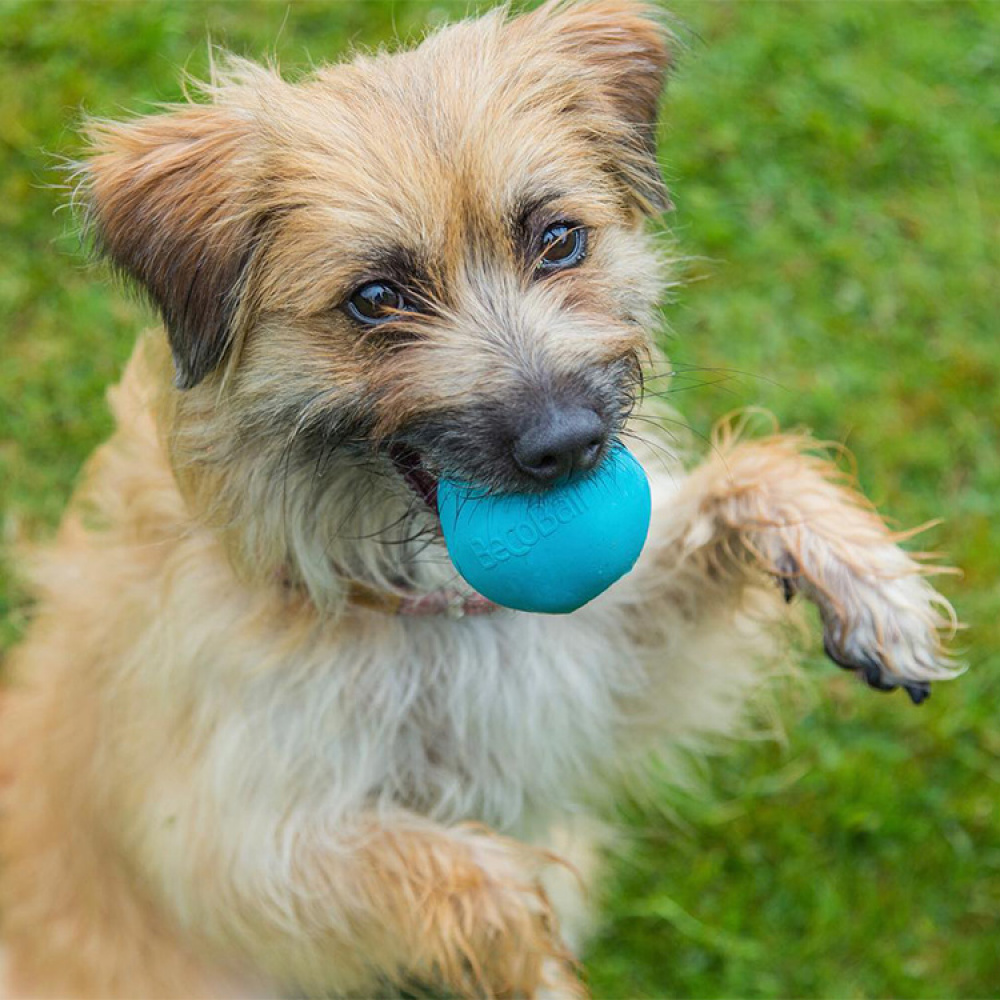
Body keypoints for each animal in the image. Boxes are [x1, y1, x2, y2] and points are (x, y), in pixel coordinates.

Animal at [0, 1, 956, 1000]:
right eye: (376, 298)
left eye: (558, 239)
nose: (570, 444)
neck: (405, 600)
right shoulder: (234, 840)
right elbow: (463, 873)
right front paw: (533, 956)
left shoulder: (596, 671)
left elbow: (748, 480)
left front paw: (866, 578)